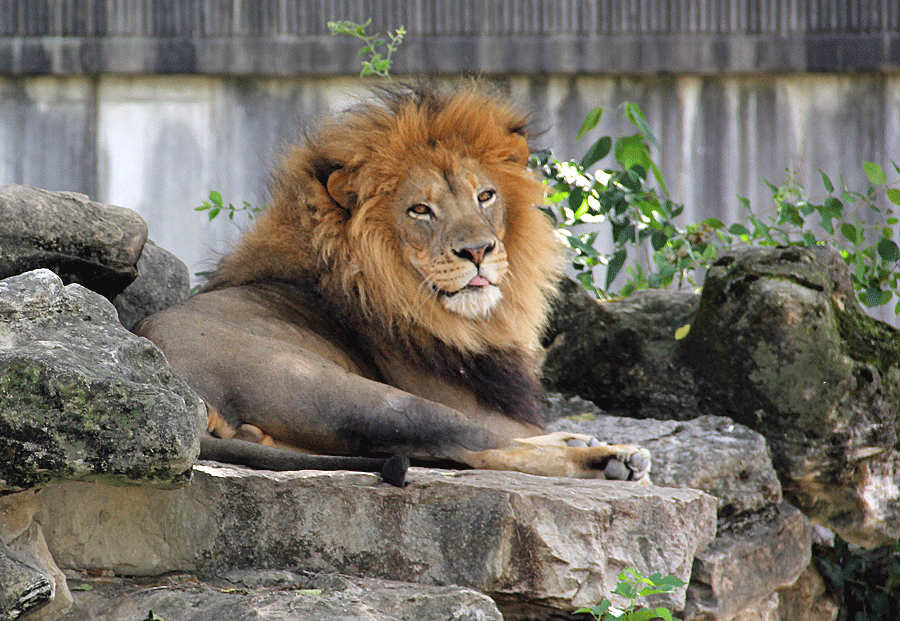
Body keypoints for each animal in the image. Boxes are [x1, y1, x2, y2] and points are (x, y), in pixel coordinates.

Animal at [134, 83, 650, 486]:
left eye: (485, 196)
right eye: (420, 210)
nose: (479, 251)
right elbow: (499, 432)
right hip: (358, 394)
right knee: (473, 444)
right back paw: (611, 459)